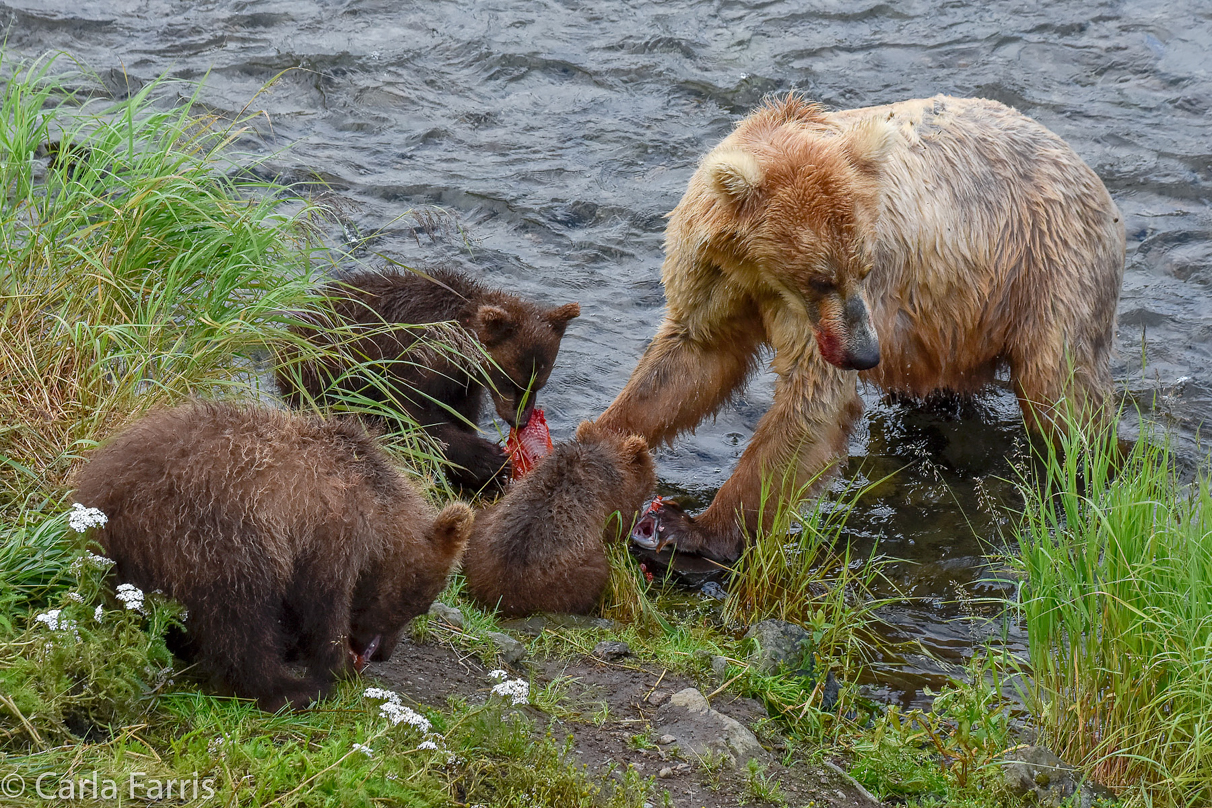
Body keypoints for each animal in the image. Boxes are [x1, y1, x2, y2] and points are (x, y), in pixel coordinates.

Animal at [596, 95, 1124, 562]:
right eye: (821, 277)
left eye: (865, 268)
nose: (867, 354)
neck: (760, 274)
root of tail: (1085, 169)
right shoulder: (718, 278)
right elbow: (691, 361)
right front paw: (606, 443)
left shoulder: (819, 317)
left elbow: (811, 402)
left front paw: (691, 530)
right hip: (956, 318)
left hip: (1049, 268)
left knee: (1061, 390)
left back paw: (1089, 470)